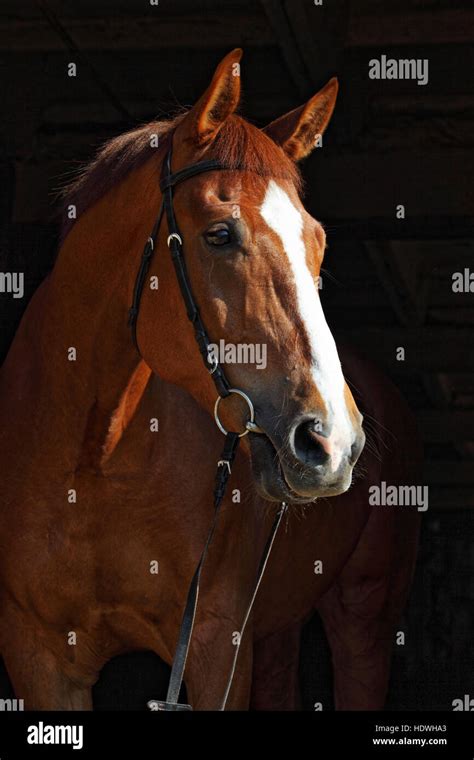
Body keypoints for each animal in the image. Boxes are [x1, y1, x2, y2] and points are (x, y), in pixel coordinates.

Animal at [0, 50, 420, 708]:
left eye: (318, 242)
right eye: (220, 235)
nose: (334, 442)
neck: (95, 461)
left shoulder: (216, 646)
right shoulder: (39, 658)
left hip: (365, 617)